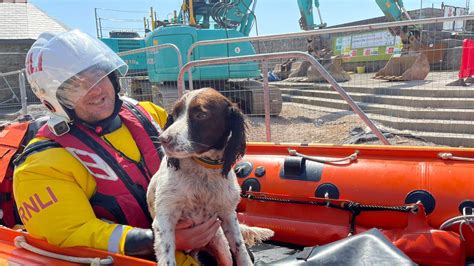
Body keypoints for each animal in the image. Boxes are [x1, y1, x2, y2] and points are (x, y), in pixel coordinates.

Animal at [148, 88, 274, 264]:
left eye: (201, 115)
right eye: (175, 113)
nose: (163, 139)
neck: (203, 169)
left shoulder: (228, 214)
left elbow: (240, 249)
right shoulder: (165, 218)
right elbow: (167, 258)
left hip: (220, 243)